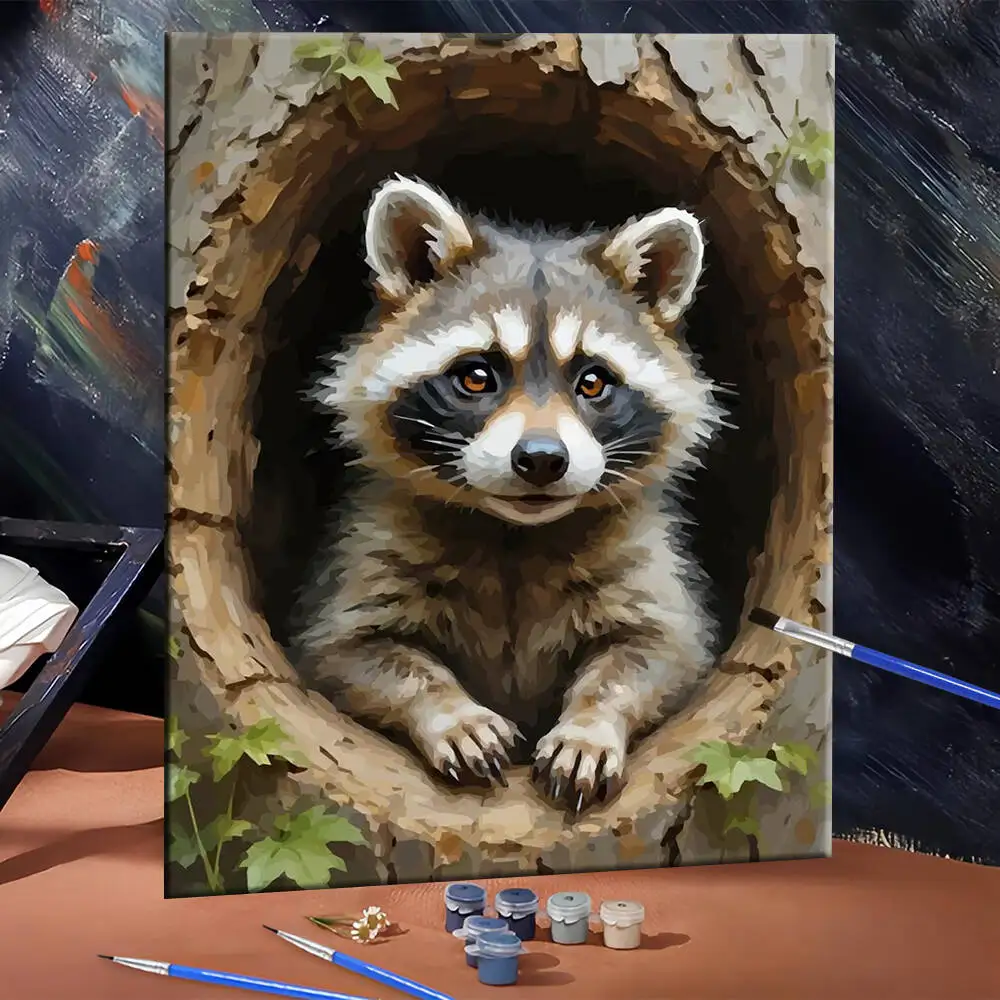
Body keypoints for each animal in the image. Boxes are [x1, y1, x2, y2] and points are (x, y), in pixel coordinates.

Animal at [294, 176, 725, 816]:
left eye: (592, 382)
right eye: (477, 376)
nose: (542, 459)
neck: (515, 531)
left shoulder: (649, 559)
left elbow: (659, 651)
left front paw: (591, 723)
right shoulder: (363, 548)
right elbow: (350, 652)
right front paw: (449, 711)